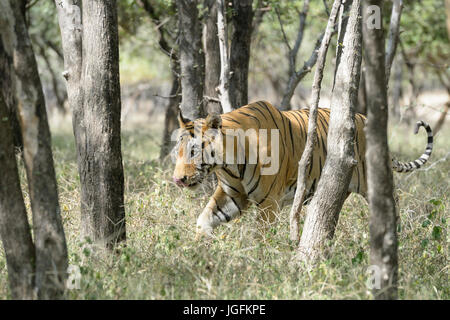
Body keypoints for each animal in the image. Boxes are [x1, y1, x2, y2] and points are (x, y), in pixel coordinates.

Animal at [171, 100, 432, 238]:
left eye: (193, 150)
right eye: (178, 151)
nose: (178, 180)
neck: (229, 165)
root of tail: (364, 118)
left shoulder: (268, 202)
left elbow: (261, 236)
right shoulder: (231, 195)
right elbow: (203, 219)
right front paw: (199, 250)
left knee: (394, 208)